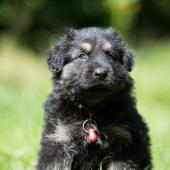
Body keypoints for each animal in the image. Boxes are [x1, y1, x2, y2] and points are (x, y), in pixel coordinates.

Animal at [36, 27, 151, 169]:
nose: (101, 73)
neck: (91, 109)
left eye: (111, 56)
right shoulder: (58, 138)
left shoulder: (123, 143)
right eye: (82, 56)